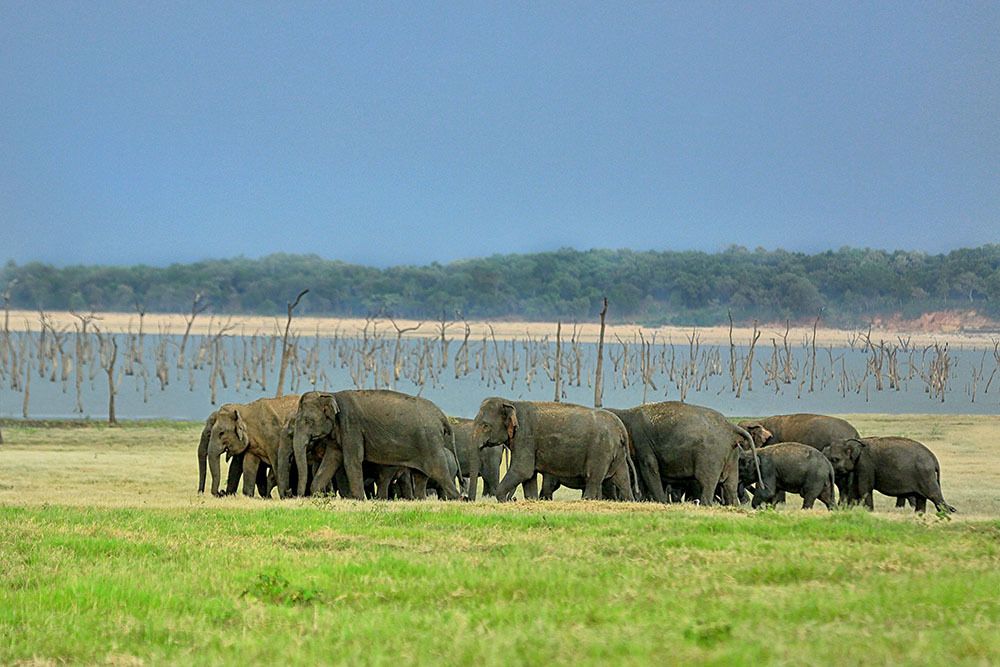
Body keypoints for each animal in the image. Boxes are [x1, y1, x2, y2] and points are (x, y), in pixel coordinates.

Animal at [282, 390, 460, 500]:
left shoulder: (351, 426)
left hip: (430, 442)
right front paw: (316, 493)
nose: (294, 494)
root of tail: (442, 416)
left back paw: (456, 498)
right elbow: (332, 459)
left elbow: (352, 460)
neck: (331, 395)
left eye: (308, 421)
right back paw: (421, 500)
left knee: (438, 470)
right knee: (420, 475)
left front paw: (359, 499)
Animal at [473, 398, 633, 502]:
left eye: (485, 426)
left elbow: (523, 470)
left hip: (600, 450)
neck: (511, 403)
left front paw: (502, 500)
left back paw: (586, 501)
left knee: (593, 479)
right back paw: (629, 501)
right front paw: (532, 500)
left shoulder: (525, 437)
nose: (513, 499)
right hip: (616, 453)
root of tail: (620, 427)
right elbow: (529, 476)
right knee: (622, 478)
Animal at [608, 401, 757, 506]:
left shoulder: (643, 443)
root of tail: (731, 427)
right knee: (730, 485)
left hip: (711, 456)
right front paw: (644, 500)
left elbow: (650, 470)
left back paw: (706, 504)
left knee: (706, 482)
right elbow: (640, 473)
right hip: (732, 455)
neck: (627, 412)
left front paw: (661, 502)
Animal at [822, 437, 956, 513]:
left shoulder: (865, 464)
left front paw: (869, 512)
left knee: (934, 495)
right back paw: (920, 514)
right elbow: (854, 491)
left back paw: (946, 513)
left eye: (835, 459)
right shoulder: (858, 468)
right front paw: (845, 510)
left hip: (925, 475)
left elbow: (864, 488)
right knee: (921, 498)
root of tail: (934, 459)